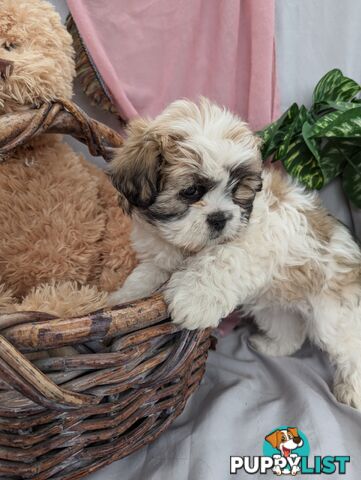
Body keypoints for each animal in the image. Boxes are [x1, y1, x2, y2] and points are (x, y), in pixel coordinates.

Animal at [108, 96, 360, 408]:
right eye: (191, 191)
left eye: (237, 189)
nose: (220, 218)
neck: (188, 246)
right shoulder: (159, 257)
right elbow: (145, 278)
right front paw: (122, 302)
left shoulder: (255, 238)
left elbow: (221, 260)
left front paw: (193, 300)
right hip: (276, 305)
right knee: (289, 329)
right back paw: (272, 346)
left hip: (333, 315)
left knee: (349, 347)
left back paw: (351, 391)